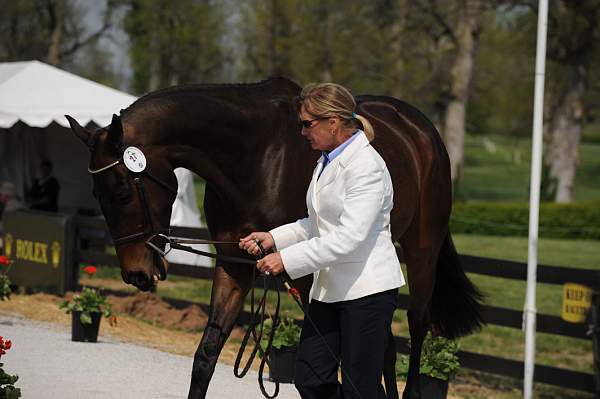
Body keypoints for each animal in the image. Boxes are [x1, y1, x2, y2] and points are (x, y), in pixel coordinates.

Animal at [65, 78, 482, 399]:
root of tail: (421, 129)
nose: (136, 273)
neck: (257, 156)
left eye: (122, 191)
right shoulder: (235, 265)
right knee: (383, 347)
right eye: (96, 194)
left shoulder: (308, 275)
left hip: (421, 253)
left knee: (415, 328)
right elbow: (206, 355)